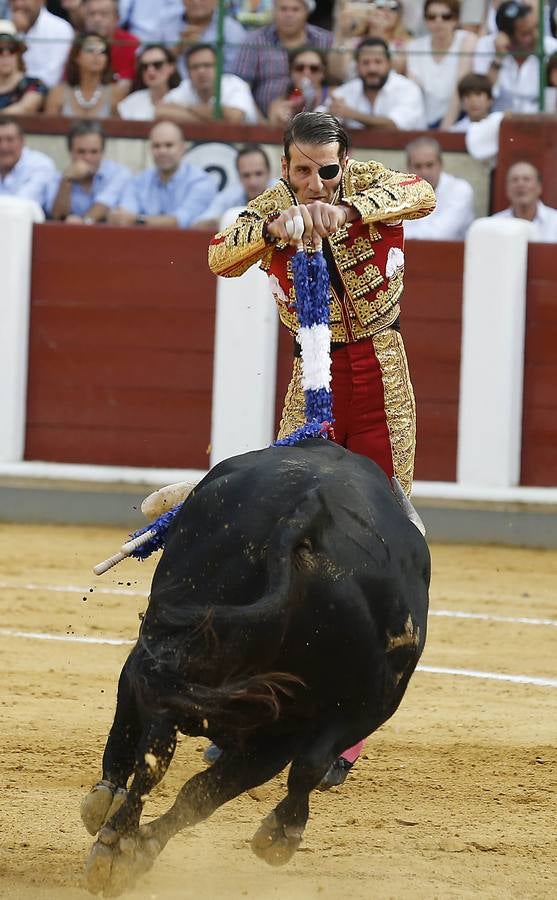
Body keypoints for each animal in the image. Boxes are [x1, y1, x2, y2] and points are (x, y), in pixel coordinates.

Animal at [80, 438, 430, 892]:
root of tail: (305, 518)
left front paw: (113, 818)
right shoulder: (280, 732)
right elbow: (204, 790)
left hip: (180, 657)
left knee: (158, 755)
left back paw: (114, 848)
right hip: (349, 707)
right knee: (298, 768)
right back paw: (278, 834)